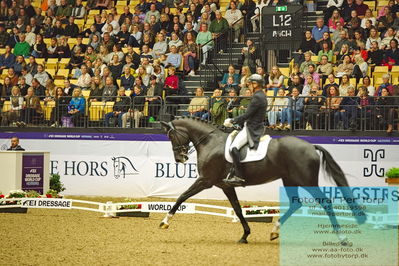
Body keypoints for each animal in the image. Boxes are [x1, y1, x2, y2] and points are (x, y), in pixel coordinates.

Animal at [159, 117, 366, 243]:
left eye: (171, 136)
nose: (180, 159)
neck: (210, 142)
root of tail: (310, 146)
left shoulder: (205, 180)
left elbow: (182, 196)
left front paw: (165, 221)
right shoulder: (225, 186)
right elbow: (237, 208)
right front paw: (245, 235)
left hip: (306, 181)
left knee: (326, 202)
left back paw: (342, 238)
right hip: (289, 180)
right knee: (296, 203)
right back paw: (274, 231)